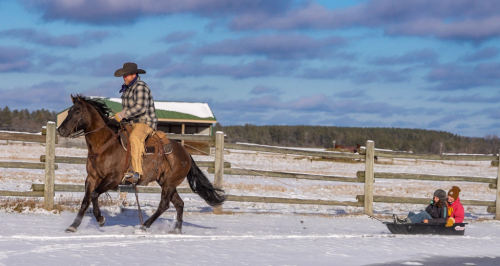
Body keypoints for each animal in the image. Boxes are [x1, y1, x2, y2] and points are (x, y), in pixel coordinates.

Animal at [56, 95, 225, 233]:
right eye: (69, 111)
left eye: (77, 111)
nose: (60, 130)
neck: (105, 144)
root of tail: (186, 153)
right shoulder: (91, 178)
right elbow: (86, 200)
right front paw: (73, 225)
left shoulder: (113, 178)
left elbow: (95, 194)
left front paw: (100, 219)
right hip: (166, 182)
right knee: (179, 203)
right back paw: (176, 229)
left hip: (169, 183)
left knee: (164, 204)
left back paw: (144, 225)